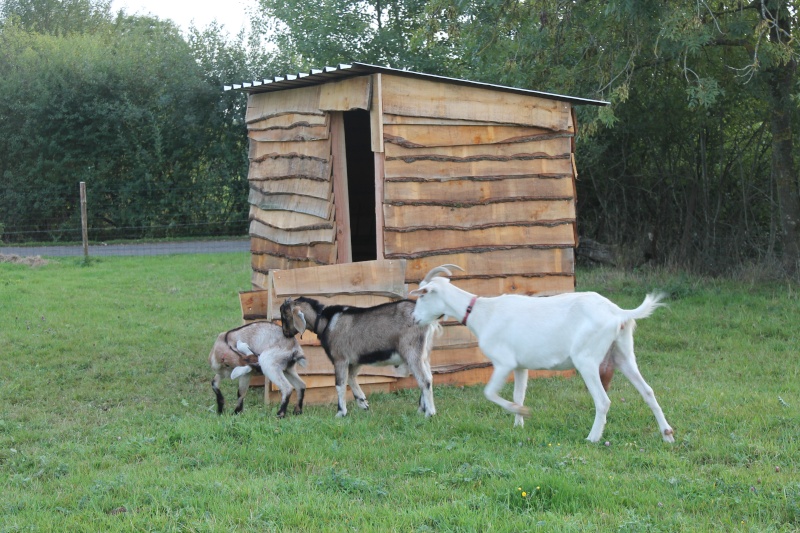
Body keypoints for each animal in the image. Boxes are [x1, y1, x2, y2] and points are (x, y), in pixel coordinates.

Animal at [280, 296, 440, 416]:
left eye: (284, 316)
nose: (285, 334)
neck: (326, 322)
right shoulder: (355, 360)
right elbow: (351, 378)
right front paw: (363, 403)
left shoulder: (340, 358)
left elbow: (340, 384)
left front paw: (341, 413)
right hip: (424, 354)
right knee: (429, 377)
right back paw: (421, 410)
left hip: (412, 352)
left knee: (424, 380)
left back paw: (430, 413)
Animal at [412, 264, 676, 442]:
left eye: (421, 297)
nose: (414, 319)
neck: (482, 312)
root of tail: (618, 313)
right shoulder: (520, 366)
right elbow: (518, 394)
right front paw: (518, 426)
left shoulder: (503, 362)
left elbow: (490, 393)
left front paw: (521, 413)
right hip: (622, 354)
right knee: (648, 391)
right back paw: (667, 434)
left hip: (587, 359)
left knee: (603, 400)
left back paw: (592, 438)